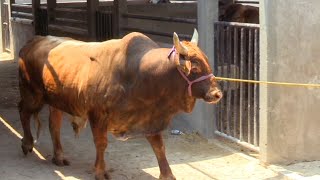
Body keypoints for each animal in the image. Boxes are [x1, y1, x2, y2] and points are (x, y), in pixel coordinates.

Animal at [18, 30, 222, 179]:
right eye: (195, 67)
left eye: (207, 62)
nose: (217, 94)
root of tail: (33, 41)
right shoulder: (98, 115)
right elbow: (101, 144)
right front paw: (100, 171)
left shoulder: (150, 119)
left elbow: (159, 147)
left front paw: (167, 175)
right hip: (33, 95)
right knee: (23, 112)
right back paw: (27, 144)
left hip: (56, 101)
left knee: (54, 126)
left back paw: (59, 156)